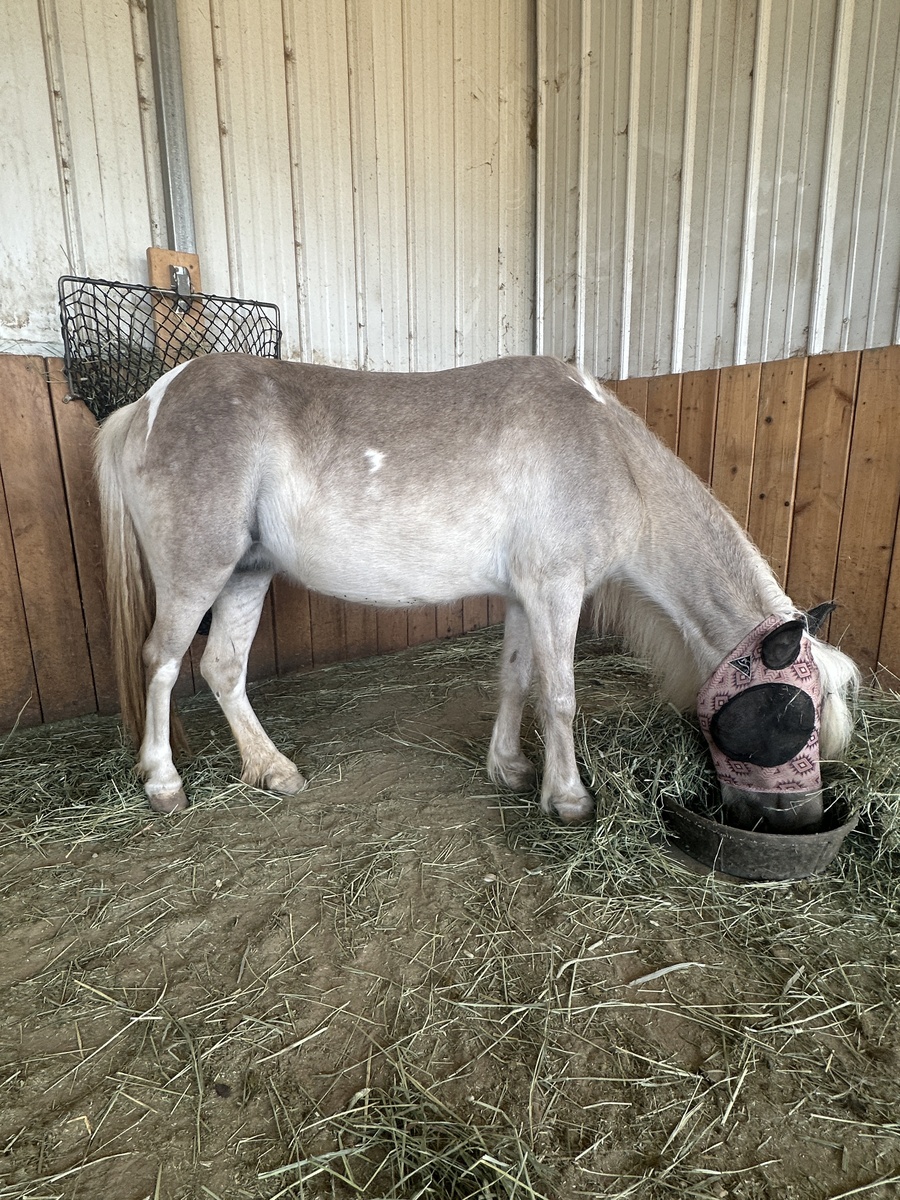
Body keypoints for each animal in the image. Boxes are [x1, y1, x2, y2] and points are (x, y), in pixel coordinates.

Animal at [95, 354, 859, 831]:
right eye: (792, 714)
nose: (801, 819)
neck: (609, 457)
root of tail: (149, 403)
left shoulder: (526, 596)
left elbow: (516, 680)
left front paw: (510, 768)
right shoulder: (556, 592)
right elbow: (559, 696)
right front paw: (568, 798)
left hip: (247, 572)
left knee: (223, 667)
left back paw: (272, 770)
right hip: (200, 572)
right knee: (163, 661)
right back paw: (163, 782)